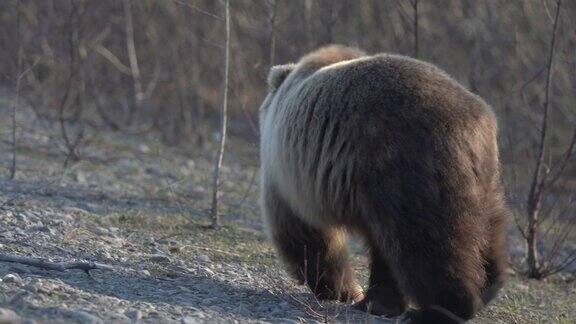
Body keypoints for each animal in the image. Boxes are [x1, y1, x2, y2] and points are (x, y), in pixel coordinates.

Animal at [258, 45, 506, 322]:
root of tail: (475, 124)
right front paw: (373, 301)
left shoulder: (290, 174)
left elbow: (306, 233)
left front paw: (342, 290)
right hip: (484, 179)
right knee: (487, 232)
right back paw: (486, 287)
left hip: (406, 163)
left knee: (427, 244)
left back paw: (439, 308)